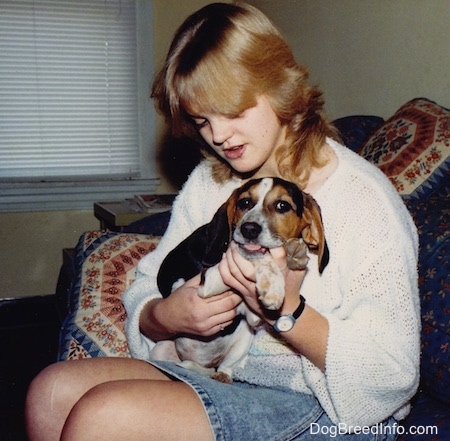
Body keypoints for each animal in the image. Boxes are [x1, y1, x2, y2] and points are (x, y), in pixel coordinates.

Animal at [153, 175, 328, 382]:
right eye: (244, 202)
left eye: (282, 205)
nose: (249, 229)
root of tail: (206, 363)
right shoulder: (208, 281)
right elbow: (258, 255)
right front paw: (273, 285)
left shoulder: (251, 317)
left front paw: (295, 253)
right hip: (160, 348)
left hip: (245, 335)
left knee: (223, 368)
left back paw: (221, 375)